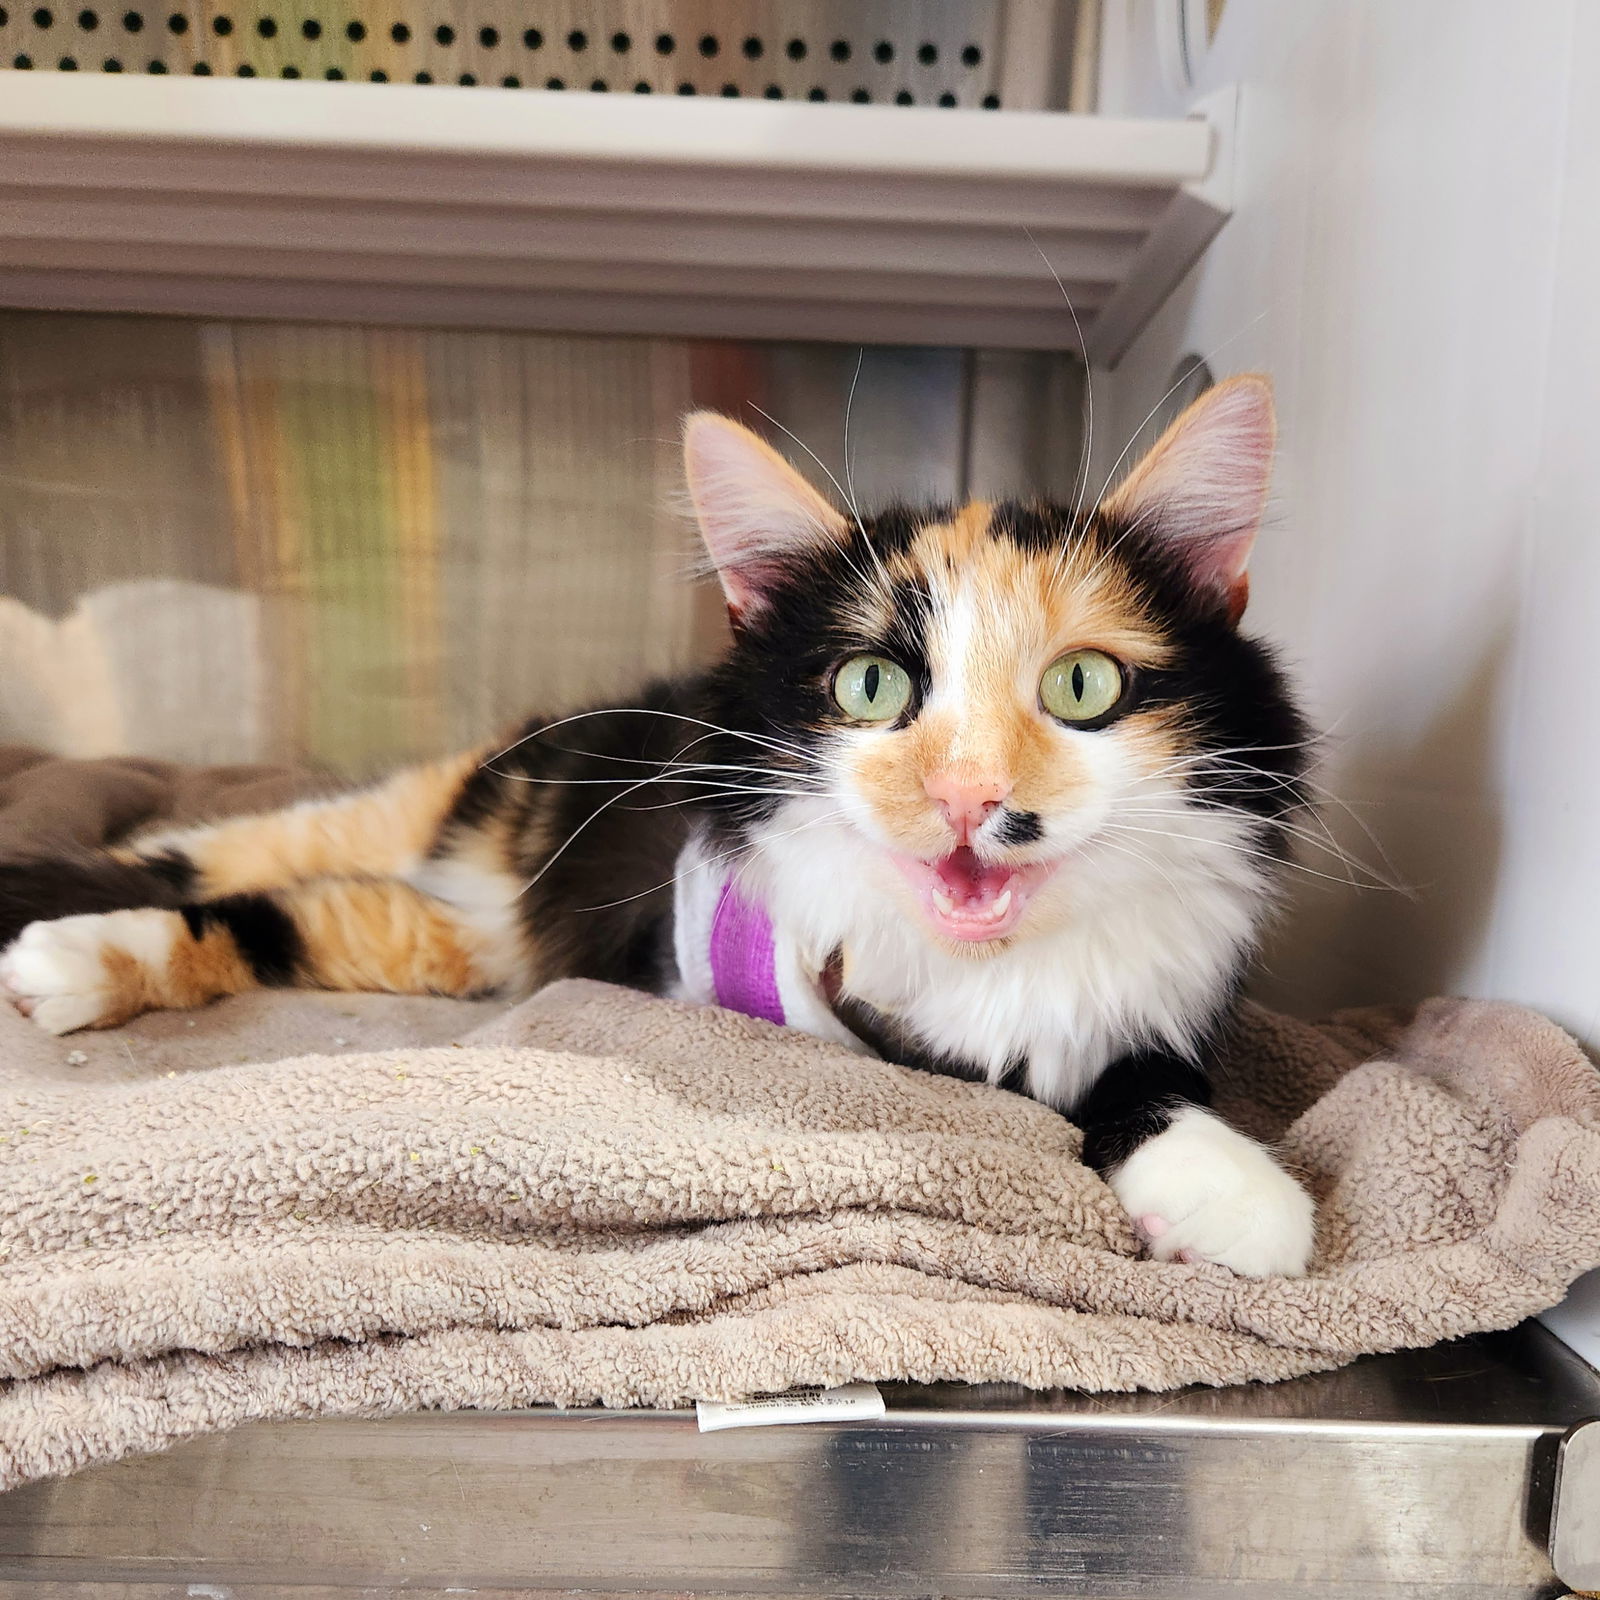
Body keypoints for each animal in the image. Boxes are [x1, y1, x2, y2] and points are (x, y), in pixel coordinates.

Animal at [0, 371, 1312, 1273]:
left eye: (1082, 687)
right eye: (869, 686)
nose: (968, 798)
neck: (974, 969)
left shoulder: (1148, 998)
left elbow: (1135, 1078)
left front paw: (1226, 1187)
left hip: (453, 941)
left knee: (296, 912)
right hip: (430, 823)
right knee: (221, 863)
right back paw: (65, 946)